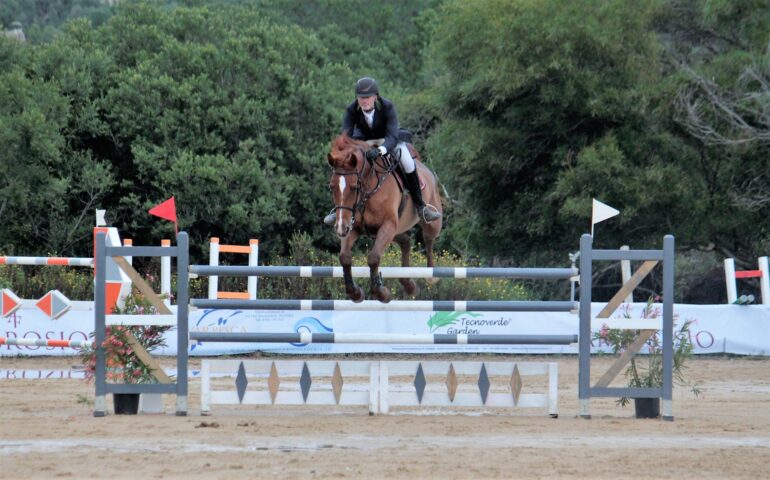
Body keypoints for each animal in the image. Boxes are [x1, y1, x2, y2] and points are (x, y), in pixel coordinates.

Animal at [326, 133, 444, 302]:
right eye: (331, 187)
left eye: (354, 187)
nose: (341, 228)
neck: (368, 190)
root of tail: (424, 167)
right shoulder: (353, 226)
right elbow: (345, 257)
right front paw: (355, 292)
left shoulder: (387, 225)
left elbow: (373, 258)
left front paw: (381, 292)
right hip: (395, 230)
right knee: (405, 242)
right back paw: (408, 284)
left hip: (430, 223)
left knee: (429, 239)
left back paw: (430, 275)